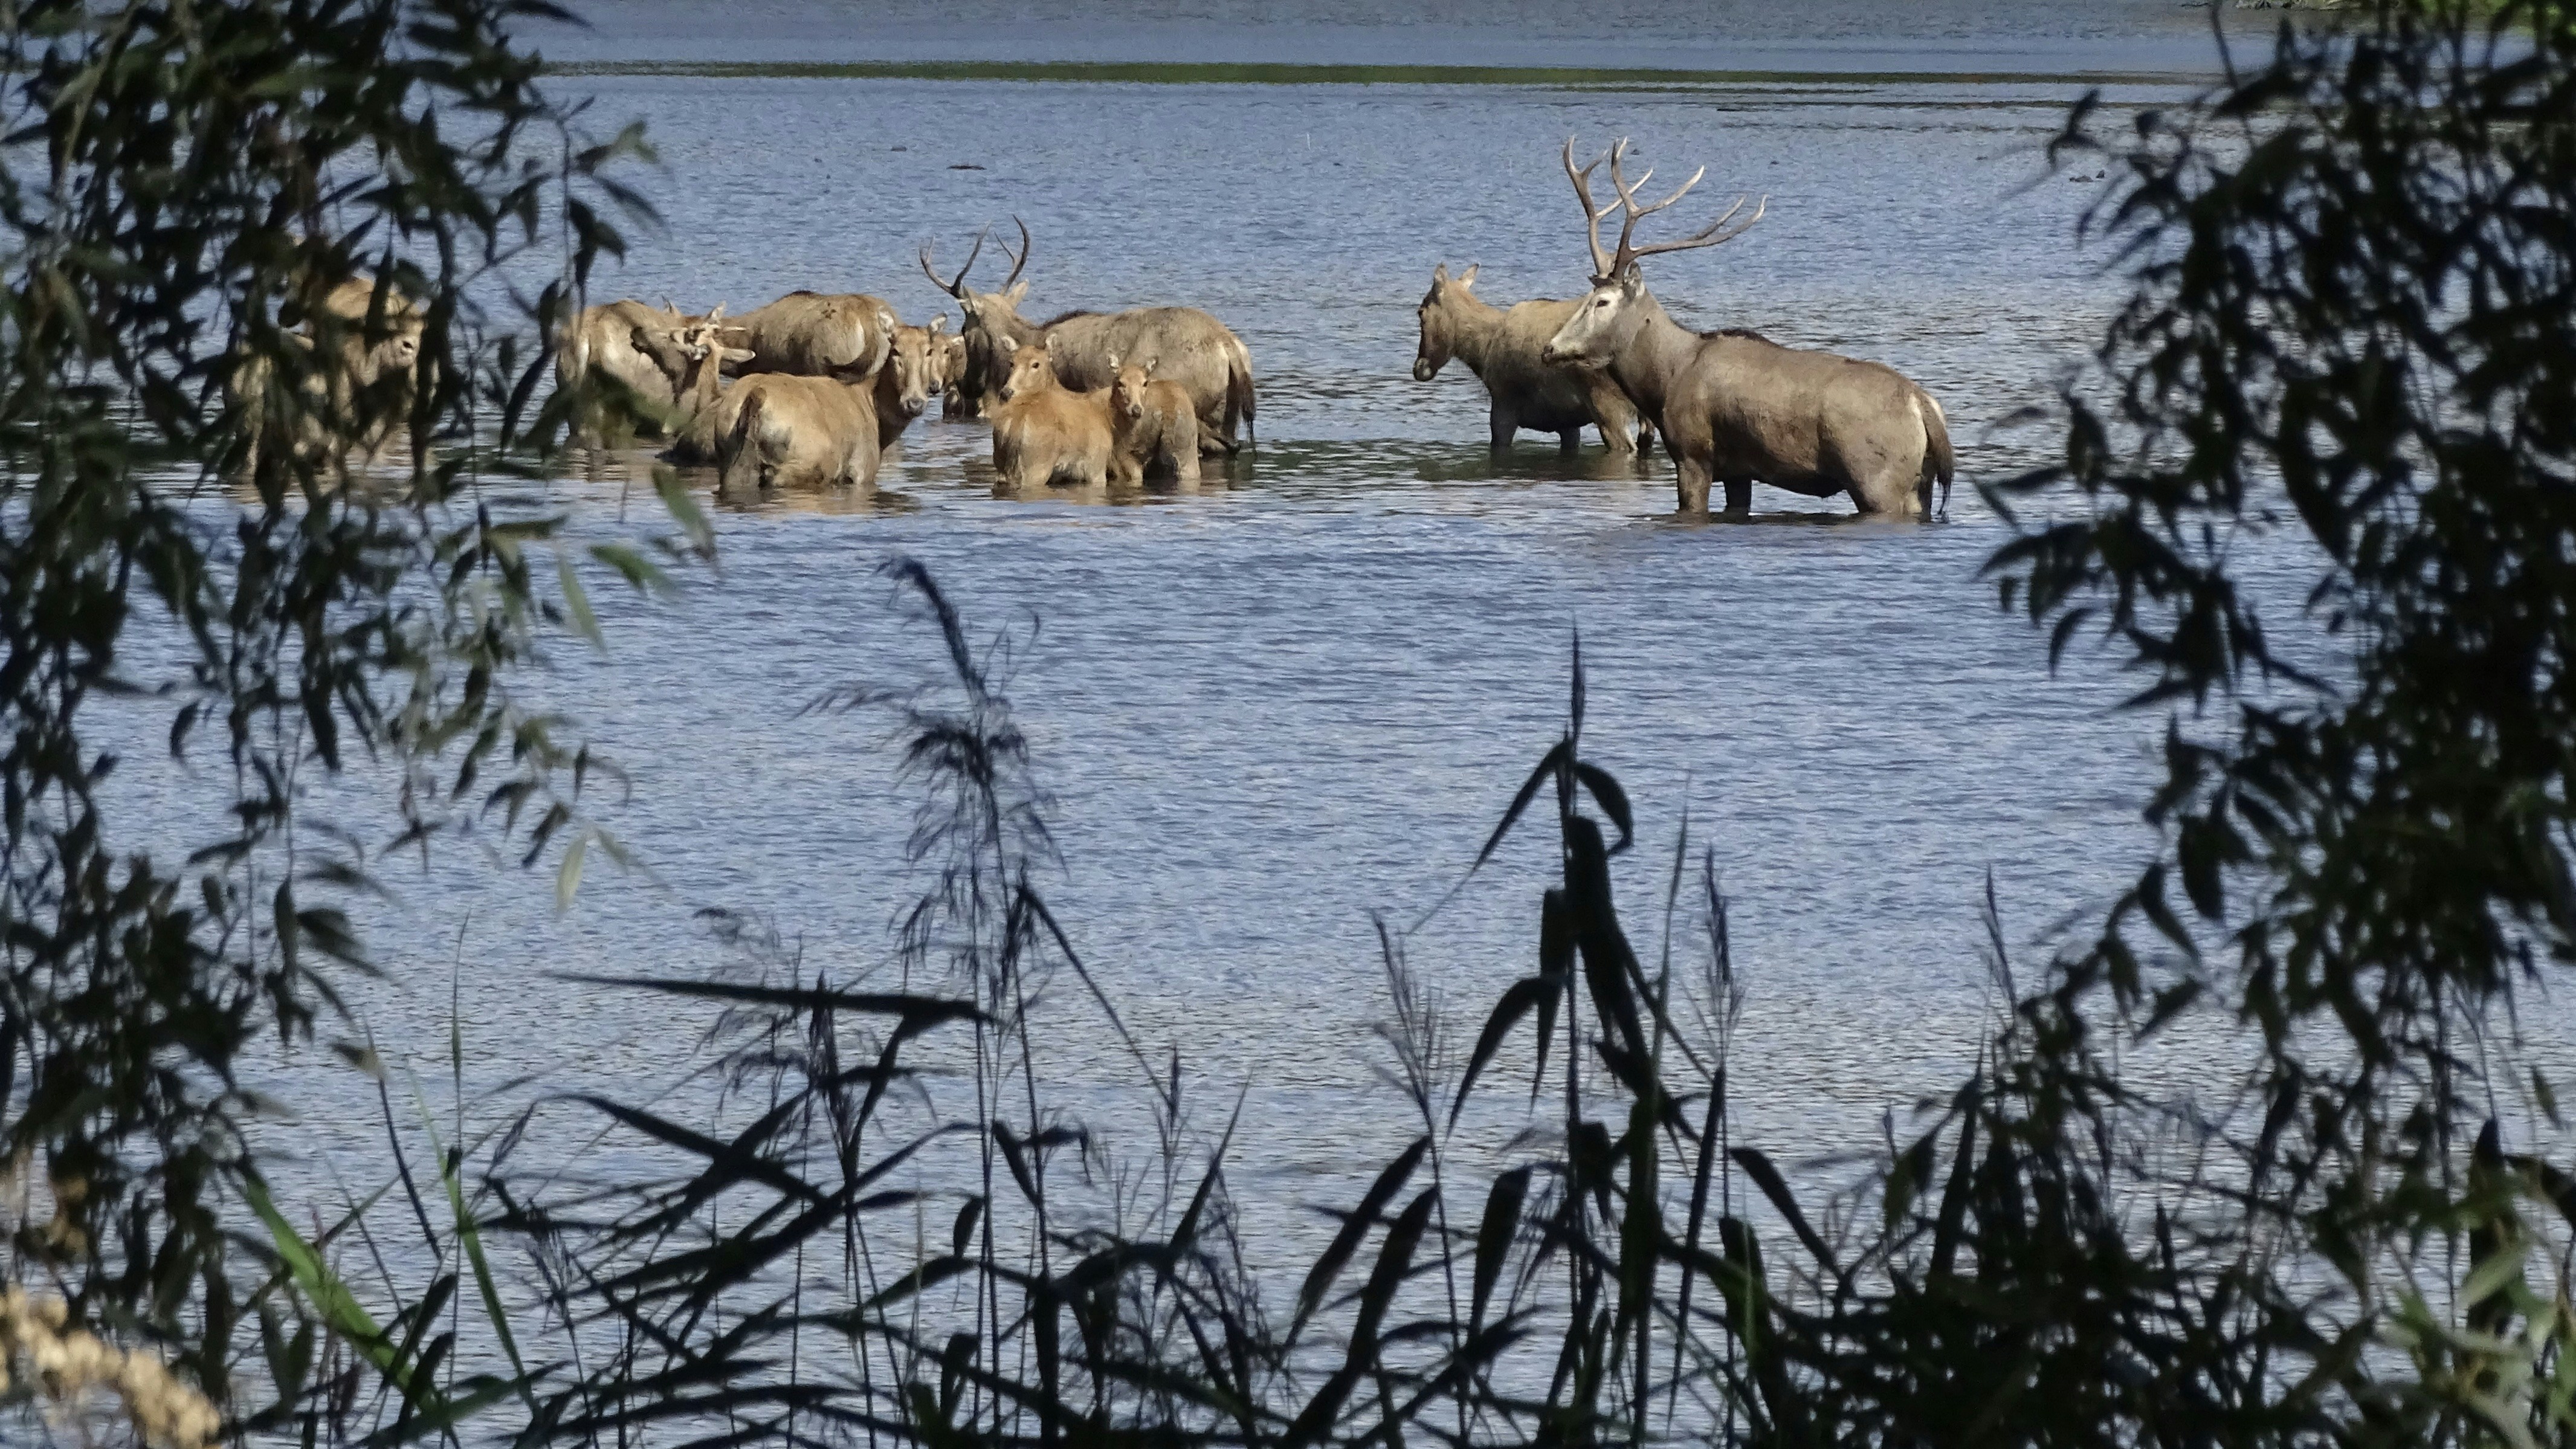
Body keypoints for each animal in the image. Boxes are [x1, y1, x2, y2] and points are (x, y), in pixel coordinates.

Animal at [986, 335, 1115, 490]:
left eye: (1036, 364)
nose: (1006, 393)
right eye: (1012, 363)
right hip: (1035, 467)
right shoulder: (1094, 468)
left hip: (1002, 467)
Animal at [1108, 357, 1202, 487]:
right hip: (1186, 447)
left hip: (1130, 450)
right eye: (1121, 383)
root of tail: (1169, 410)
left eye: (1144, 383)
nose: (1136, 410)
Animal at [1414, 263, 1652, 454]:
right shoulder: (1567, 423)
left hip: (1608, 407)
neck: (1483, 349)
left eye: (1421, 312)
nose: (1419, 367)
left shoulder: (1503, 407)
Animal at [1540, 138, 1953, 519]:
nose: (1550, 348)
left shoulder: (1693, 454)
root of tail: (1924, 407)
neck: (1665, 380)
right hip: (1920, 485)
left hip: (1877, 477)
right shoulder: (1739, 472)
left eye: (1602, 302)